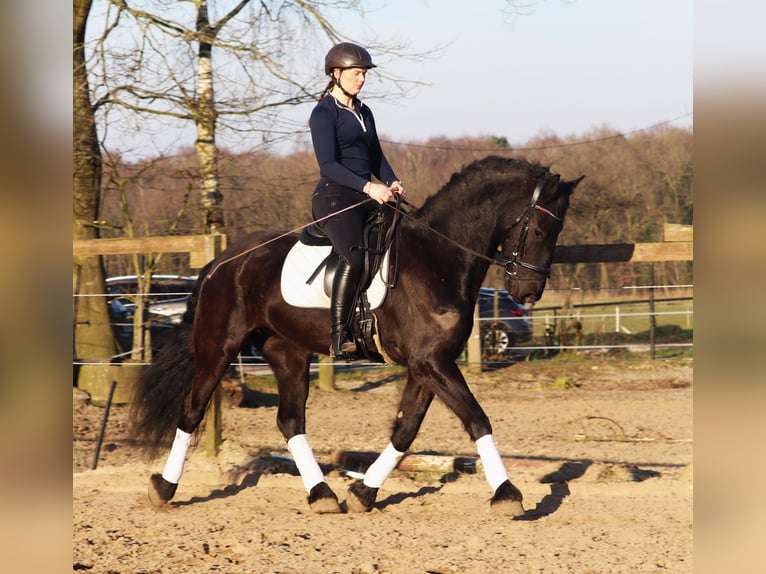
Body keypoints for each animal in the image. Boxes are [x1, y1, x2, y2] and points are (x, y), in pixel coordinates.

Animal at [129, 156, 584, 516]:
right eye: (540, 230)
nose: (528, 293)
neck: (439, 257)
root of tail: (221, 262)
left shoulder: (428, 364)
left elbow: (405, 430)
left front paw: (364, 491)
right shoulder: (430, 362)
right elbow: (476, 418)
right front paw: (507, 494)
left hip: (288, 352)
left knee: (290, 420)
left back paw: (322, 495)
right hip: (218, 345)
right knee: (192, 410)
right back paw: (163, 488)